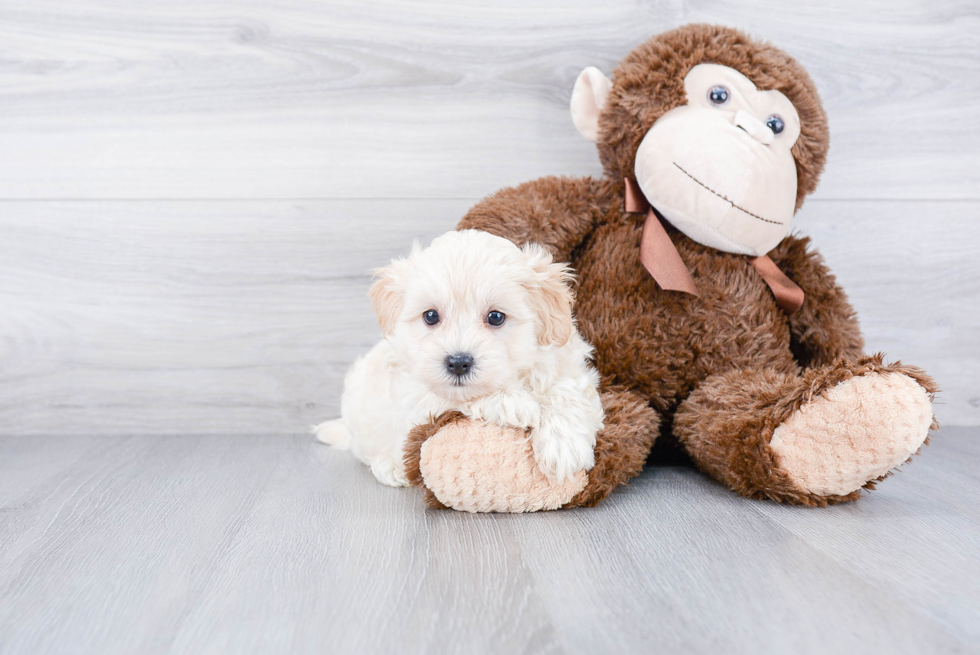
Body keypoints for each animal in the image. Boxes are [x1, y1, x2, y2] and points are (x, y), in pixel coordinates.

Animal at [314, 231, 604, 486]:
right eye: (431, 316)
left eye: (496, 317)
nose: (458, 363)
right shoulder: (414, 397)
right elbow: (452, 399)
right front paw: (510, 402)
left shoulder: (569, 367)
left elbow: (566, 392)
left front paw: (563, 445)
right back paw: (391, 467)